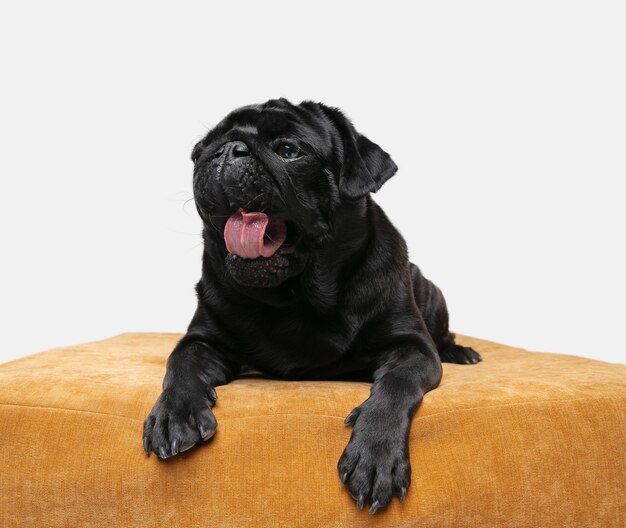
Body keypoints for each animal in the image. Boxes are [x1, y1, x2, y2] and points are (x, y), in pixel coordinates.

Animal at [141, 97, 480, 512]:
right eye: (202, 149)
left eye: (289, 150)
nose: (226, 151)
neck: (295, 297)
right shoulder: (202, 340)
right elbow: (180, 365)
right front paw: (174, 414)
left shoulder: (413, 348)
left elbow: (395, 387)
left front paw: (375, 454)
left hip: (432, 295)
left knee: (443, 335)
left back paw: (460, 351)